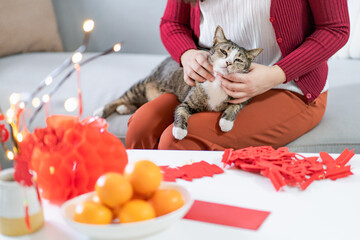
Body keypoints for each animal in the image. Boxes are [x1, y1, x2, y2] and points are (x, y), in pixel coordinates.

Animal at [93, 25, 262, 140]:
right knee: (121, 98)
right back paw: (101, 112)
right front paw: (179, 131)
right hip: (141, 86)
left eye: (238, 60)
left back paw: (124, 108)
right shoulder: (188, 101)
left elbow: (235, 106)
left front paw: (225, 122)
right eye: (224, 52)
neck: (218, 82)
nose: (228, 63)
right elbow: (180, 110)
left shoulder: (245, 93)